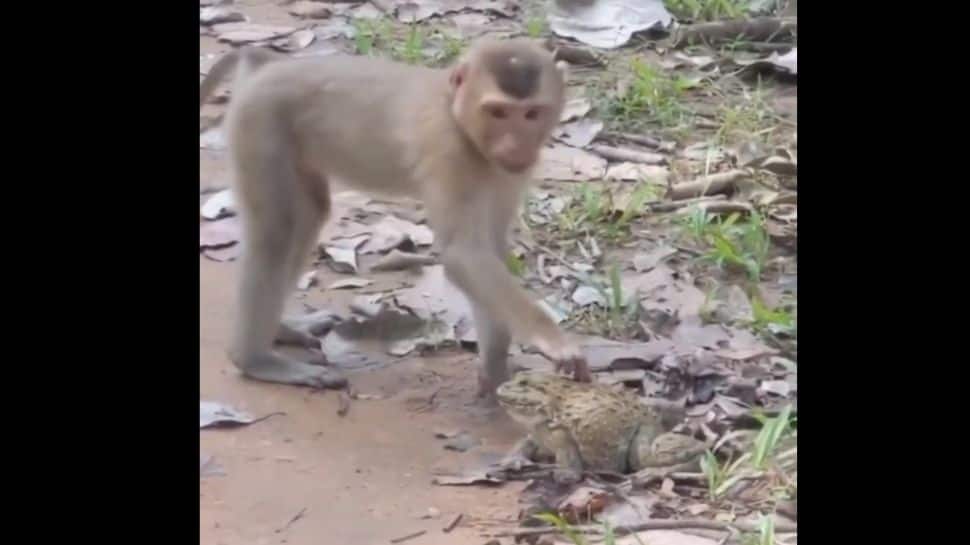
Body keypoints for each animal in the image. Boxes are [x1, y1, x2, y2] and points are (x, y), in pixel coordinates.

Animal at [199, 38, 592, 400]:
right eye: (498, 112)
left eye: (531, 114)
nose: (515, 146)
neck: (457, 118)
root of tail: (267, 66)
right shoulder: (448, 152)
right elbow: (463, 254)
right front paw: (552, 339)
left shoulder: (509, 174)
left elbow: (489, 250)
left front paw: (495, 369)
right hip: (259, 124)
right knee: (277, 232)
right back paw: (255, 360)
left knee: (308, 216)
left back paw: (282, 330)